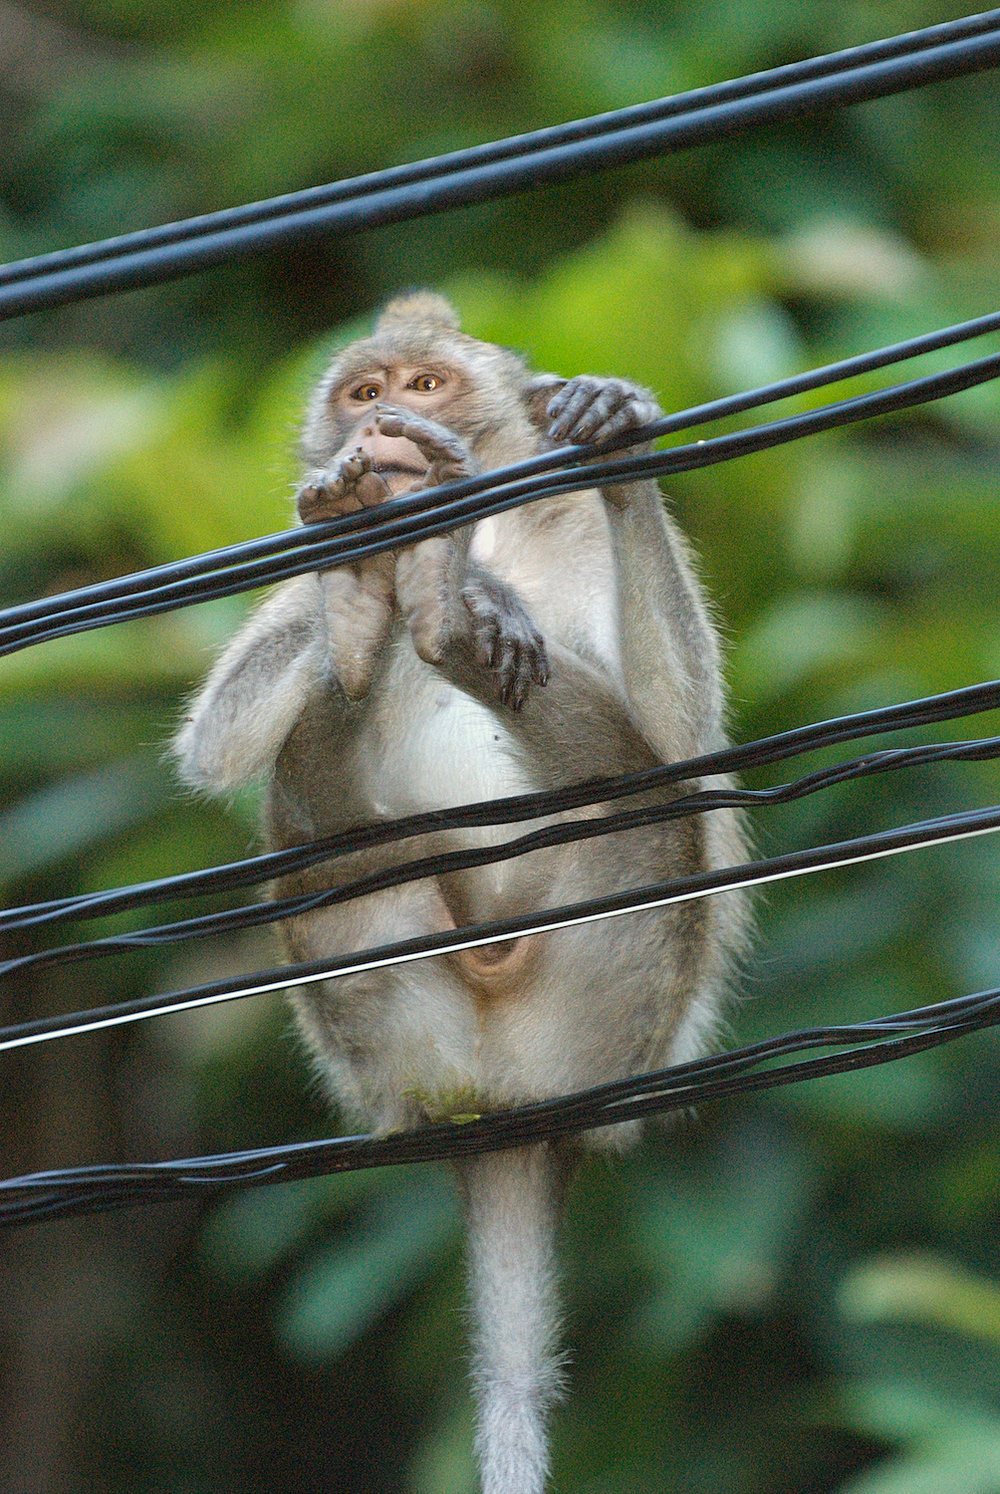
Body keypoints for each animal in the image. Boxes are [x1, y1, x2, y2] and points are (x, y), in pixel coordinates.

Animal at [173, 291, 747, 1494]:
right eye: (363, 391)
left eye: (422, 386)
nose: (382, 424)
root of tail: (508, 1103)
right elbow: (217, 743)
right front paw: (354, 576)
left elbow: (683, 741)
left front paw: (614, 438)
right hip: (387, 1024)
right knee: (300, 793)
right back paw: (382, 615)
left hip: (610, 998)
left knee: (649, 804)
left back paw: (445, 616)